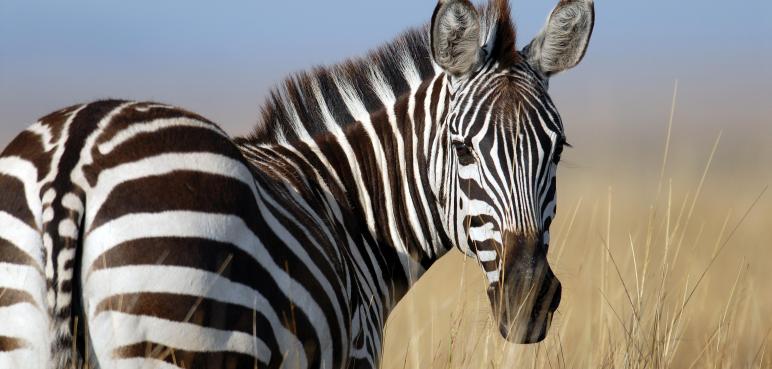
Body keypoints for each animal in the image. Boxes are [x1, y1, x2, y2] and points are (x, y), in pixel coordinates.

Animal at [0, 0, 596, 366]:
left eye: (557, 150)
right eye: (463, 148)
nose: (530, 301)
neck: (352, 210)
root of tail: (72, 159)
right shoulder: (355, 353)